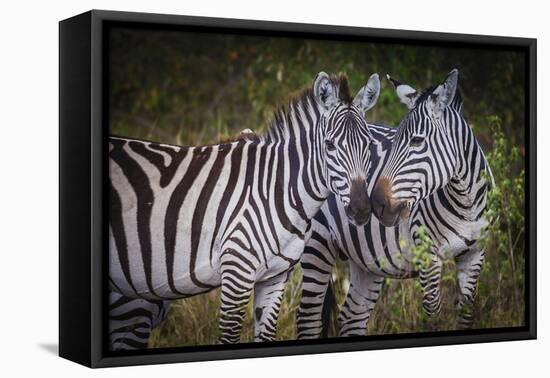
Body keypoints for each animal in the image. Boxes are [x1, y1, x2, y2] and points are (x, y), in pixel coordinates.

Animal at [108, 71, 384, 348]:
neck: (276, 190)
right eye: (329, 146)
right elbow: (230, 335)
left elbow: (266, 332)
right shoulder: (236, 273)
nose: (361, 209)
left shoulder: (274, 278)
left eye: (369, 145)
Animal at [300, 69, 494, 338]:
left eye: (417, 141)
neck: (465, 203)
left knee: (352, 316)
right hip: (317, 243)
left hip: (366, 260)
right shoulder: (427, 255)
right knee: (309, 318)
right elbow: (433, 311)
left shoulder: (475, 254)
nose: (376, 204)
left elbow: (465, 313)